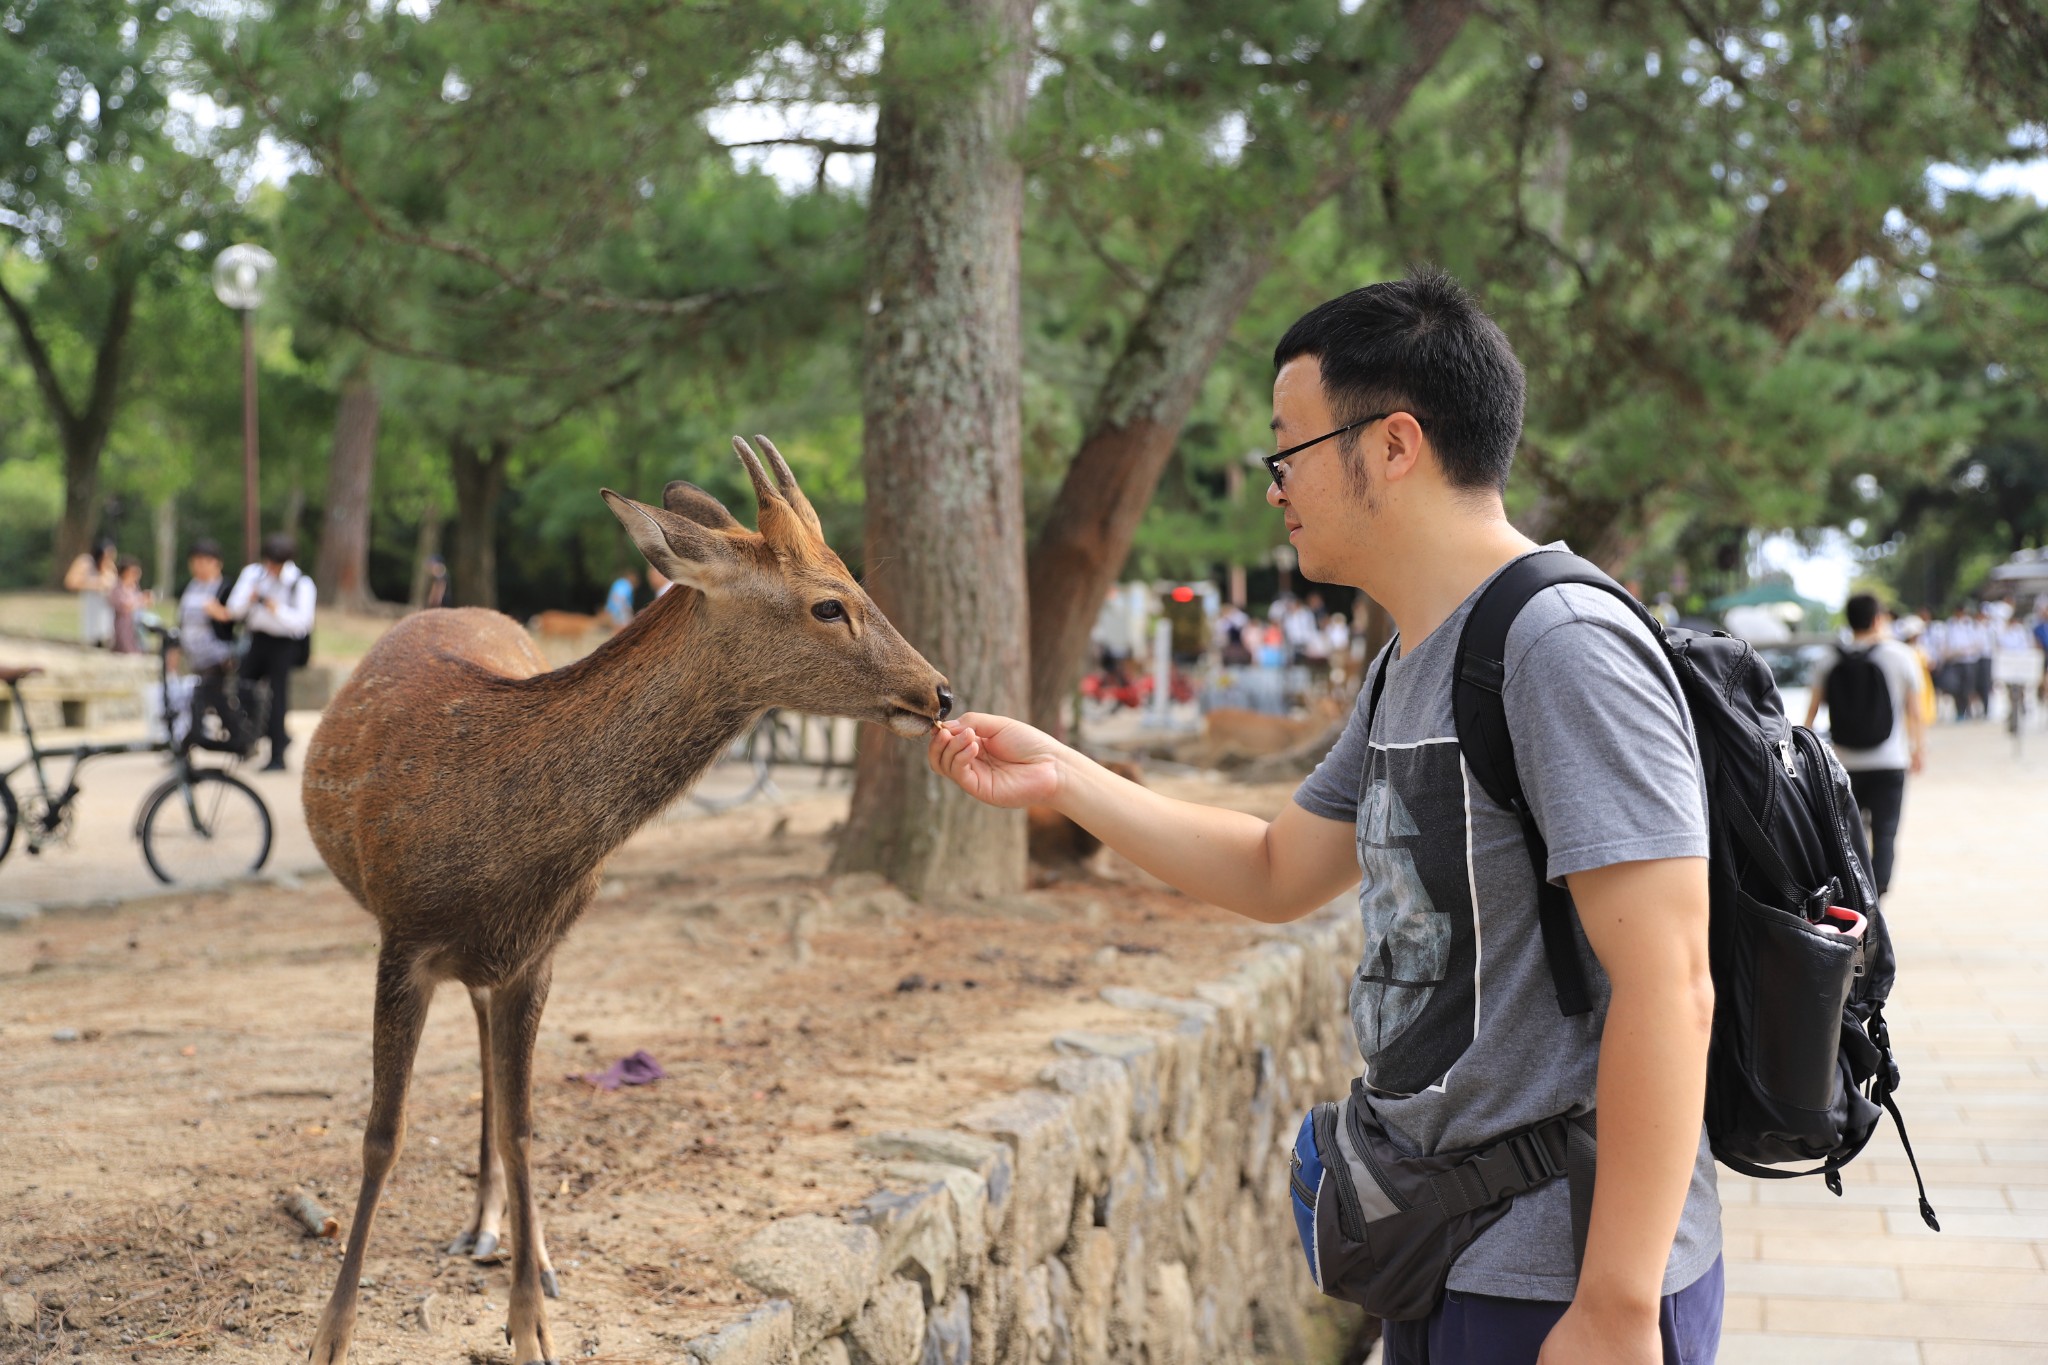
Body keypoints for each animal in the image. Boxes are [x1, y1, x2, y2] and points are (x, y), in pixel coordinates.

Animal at [299, 439, 950, 1365]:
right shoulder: (404, 934)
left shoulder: (535, 954)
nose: (940, 692)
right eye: (830, 603)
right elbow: (381, 1135)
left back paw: (510, 1238)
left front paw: (531, 1322)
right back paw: (483, 1228)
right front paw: (331, 1333)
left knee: (496, 1067)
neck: (502, 841)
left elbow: (525, 1124)